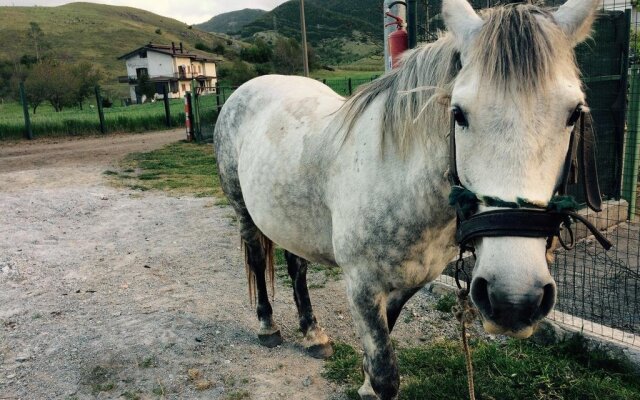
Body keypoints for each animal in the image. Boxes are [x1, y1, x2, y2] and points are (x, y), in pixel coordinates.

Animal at [214, 0, 600, 396]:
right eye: (458, 113)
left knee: (296, 267)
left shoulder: (408, 284)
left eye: (574, 113)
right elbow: (386, 374)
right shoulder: (361, 286)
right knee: (257, 259)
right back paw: (268, 327)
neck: (399, 180)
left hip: (291, 219)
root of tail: (245, 90)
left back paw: (312, 333)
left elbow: (383, 344)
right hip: (242, 208)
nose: (513, 301)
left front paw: (364, 385)